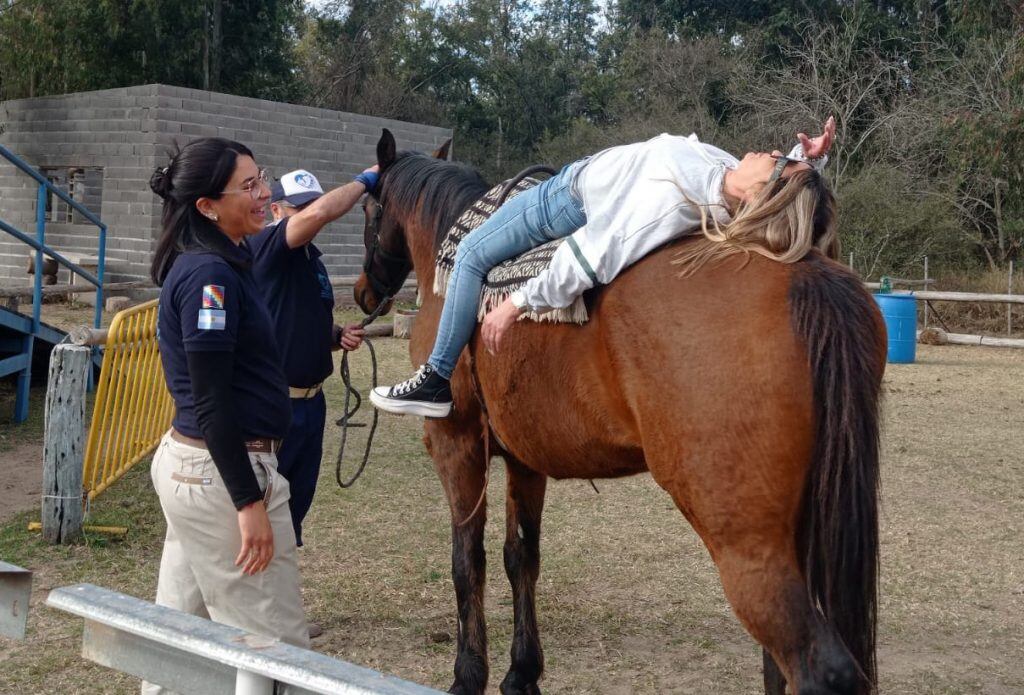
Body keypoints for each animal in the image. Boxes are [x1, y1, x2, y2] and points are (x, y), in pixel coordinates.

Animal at [356, 132, 884, 695]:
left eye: (368, 209)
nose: (362, 292)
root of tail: (804, 271)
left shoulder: (455, 446)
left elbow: (466, 560)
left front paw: (467, 675)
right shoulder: (525, 460)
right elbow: (520, 558)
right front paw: (521, 673)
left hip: (748, 545)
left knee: (819, 666)